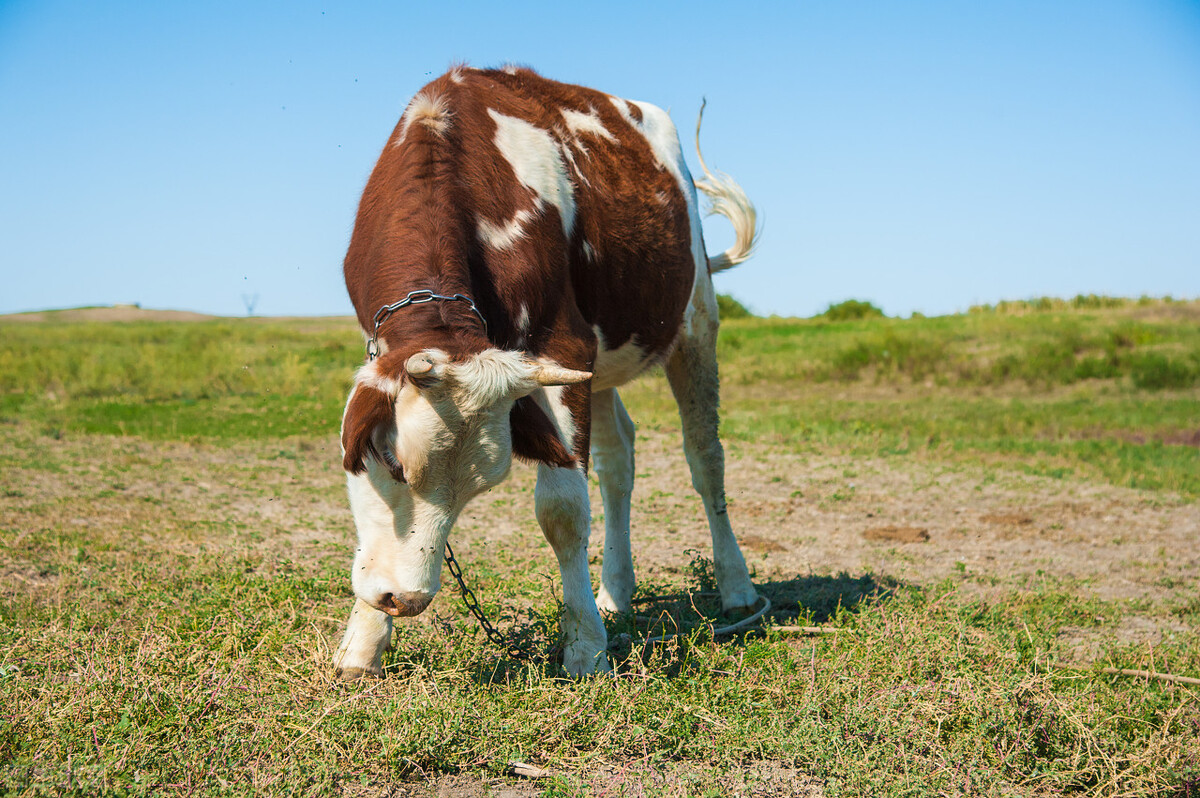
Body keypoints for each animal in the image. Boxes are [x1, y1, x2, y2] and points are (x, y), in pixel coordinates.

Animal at [331, 65, 758, 676]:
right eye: (391, 462)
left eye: (476, 490)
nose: (403, 598)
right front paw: (364, 641)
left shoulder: (564, 346)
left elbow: (563, 509)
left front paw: (586, 647)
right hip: (601, 366)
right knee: (618, 460)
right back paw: (615, 593)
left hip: (695, 322)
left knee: (705, 457)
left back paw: (736, 585)